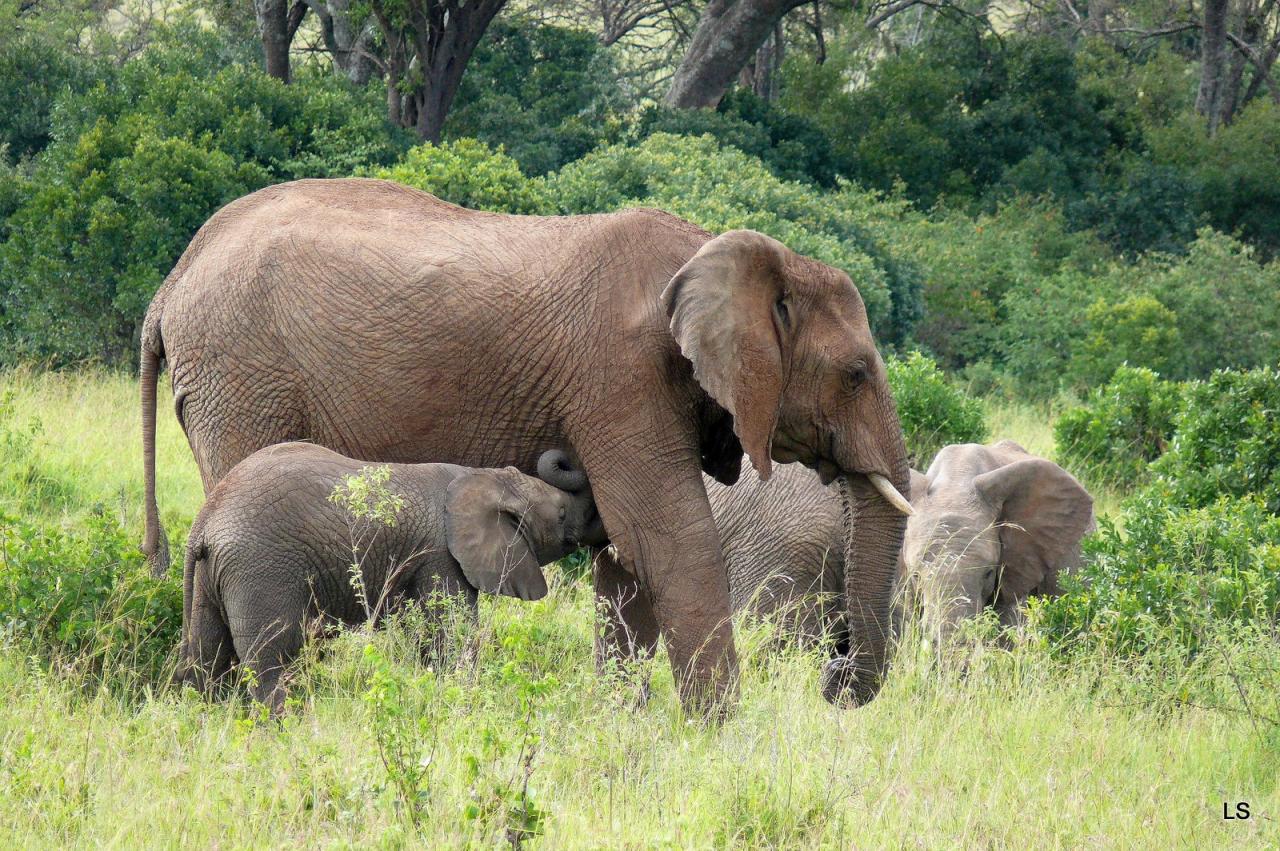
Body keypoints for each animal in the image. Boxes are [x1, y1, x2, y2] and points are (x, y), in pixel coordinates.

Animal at [177, 440, 601, 711]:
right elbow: (453, 633)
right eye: (561, 514)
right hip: (261, 571)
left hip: (210, 579)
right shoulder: (440, 556)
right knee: (271, 659)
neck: (486, 479)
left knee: (207, 657)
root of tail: (205, 524)